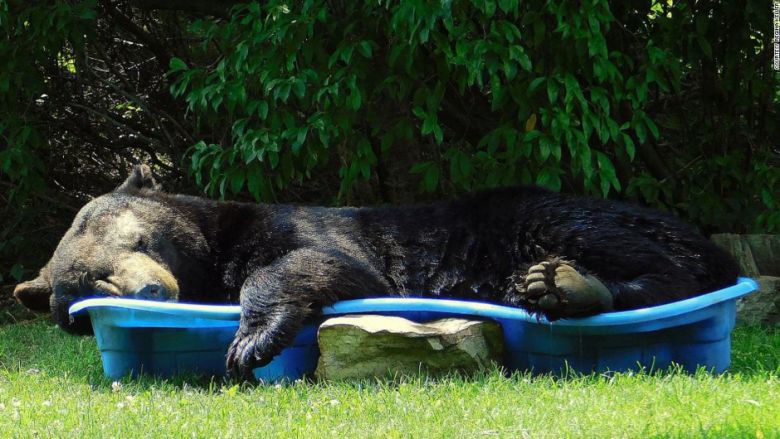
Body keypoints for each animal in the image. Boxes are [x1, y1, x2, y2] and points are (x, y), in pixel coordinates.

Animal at [15, 165, 740, 378]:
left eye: (136, 239)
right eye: (83, 290)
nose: (150, 289)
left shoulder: (304, 227)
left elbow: (321, 263)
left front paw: (251, 340)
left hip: (557, 215)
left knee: (649, 257)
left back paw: (565, 282)